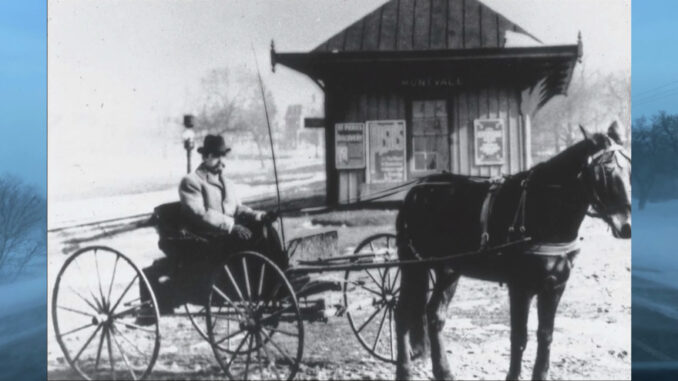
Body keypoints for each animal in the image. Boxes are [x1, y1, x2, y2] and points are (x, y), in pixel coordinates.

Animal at [396, 122, 636, 380]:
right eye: (604, 172)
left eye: (630, 169)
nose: (627, 226)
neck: (542, 207)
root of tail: (418, 190)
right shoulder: (520, 286)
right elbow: (519, 337)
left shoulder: (555, 286)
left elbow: (545, 335)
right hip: (412, 266)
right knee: (402, 313)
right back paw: (404, 371)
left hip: (448, 270)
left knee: (434, 315)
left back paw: (444, 372)